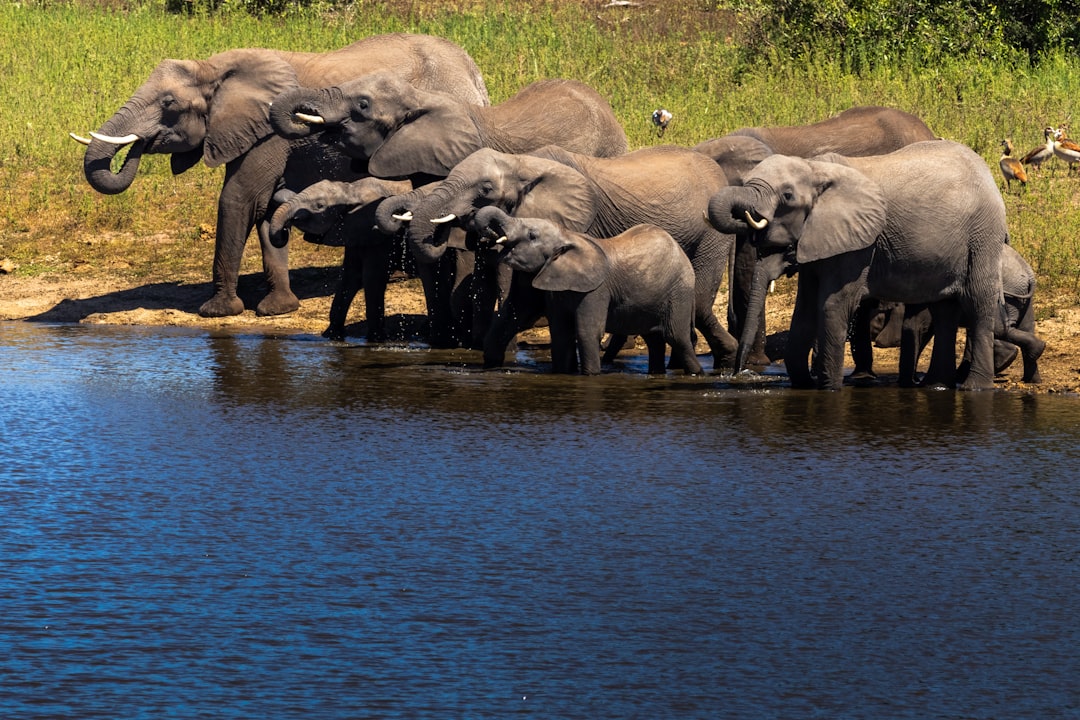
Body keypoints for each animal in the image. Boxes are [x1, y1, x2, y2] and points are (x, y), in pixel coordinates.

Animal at [71, 33, 489, 319]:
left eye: (168, 103)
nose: (139, 145)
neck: (214, 68)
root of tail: (473, 71)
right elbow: (268, 206)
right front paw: (278, 308)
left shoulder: (267, 134)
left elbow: (240, 198)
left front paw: (217, 311)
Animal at [268, 177, 414, 341]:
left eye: (319, 206)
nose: (285, 229)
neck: (352, 190)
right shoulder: (354, 230)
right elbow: (350, 277)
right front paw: (331, 336)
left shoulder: (382, 236)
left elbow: (372, 278)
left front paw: (375, 340)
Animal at [471, 206, 702, 375]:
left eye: (532, 235)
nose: (485, 237)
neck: (567, 236)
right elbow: (557, 330)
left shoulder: (596, 290)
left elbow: (587, 331)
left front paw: (590, 376)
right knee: (654, 339)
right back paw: (657, 374)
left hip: (680, 292)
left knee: (676, 336)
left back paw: (696, 373)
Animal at [707, 139, 1007, 391]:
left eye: (788, 196)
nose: (739, 374)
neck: (815, 168)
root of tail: (987, 173)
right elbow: (804, 310)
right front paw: (804, 385)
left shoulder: (859, 242)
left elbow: (833, 304)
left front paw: (828, 389)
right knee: (944, 309)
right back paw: (936, 386)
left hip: (983, 235)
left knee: (977, 302)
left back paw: (975, 388)